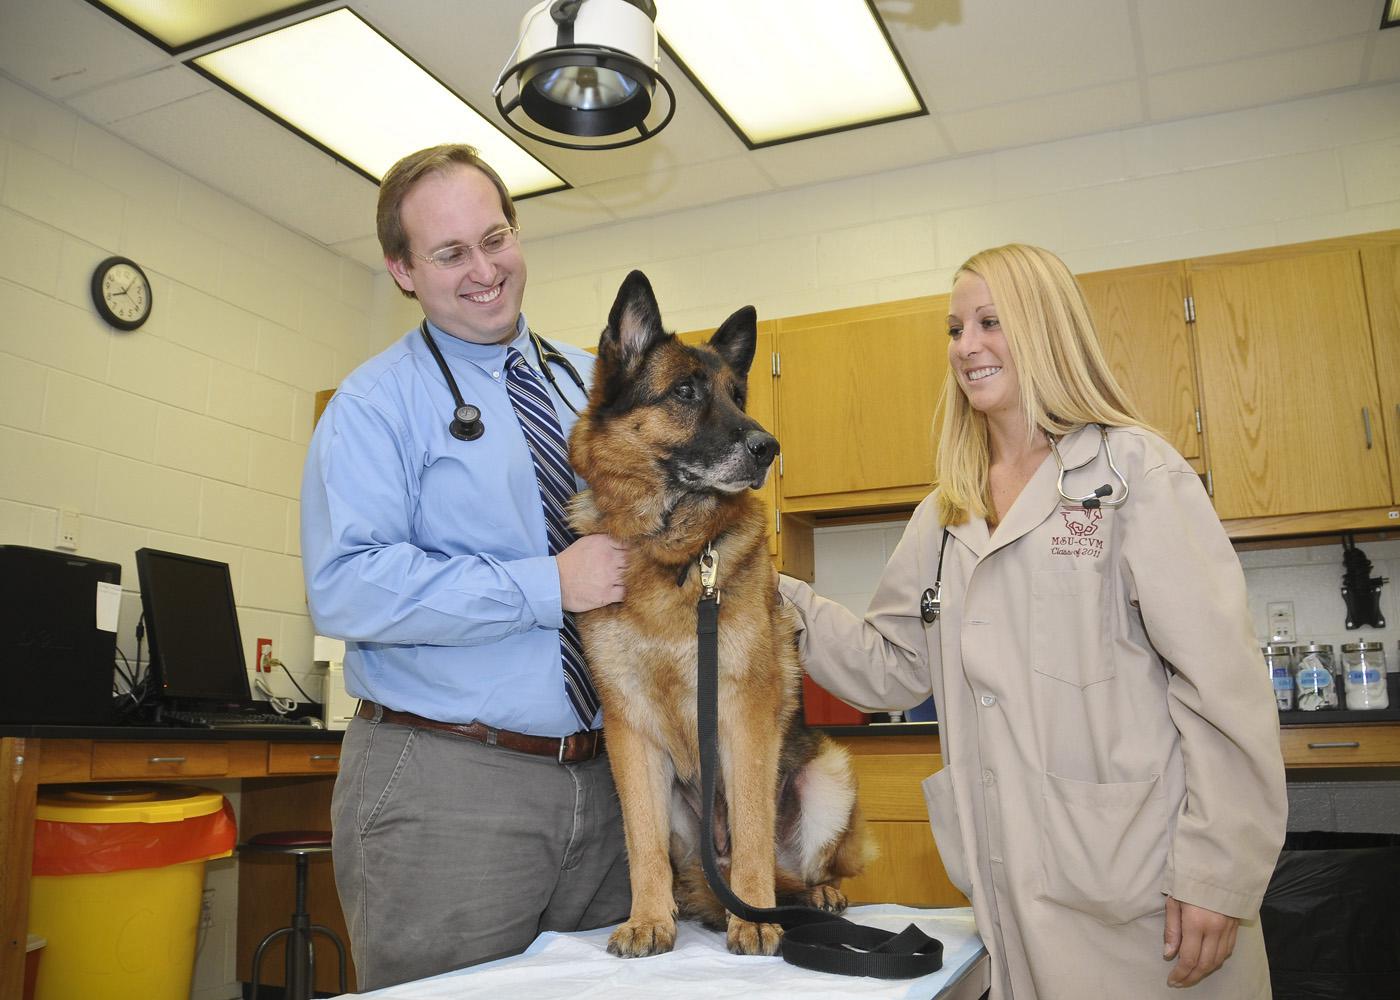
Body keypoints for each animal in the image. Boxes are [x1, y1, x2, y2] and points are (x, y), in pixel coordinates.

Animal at [565, 268, 868, 952]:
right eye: (685, 392)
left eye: (736, 395)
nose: (768, 447)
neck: (675, 555)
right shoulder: (630, 732)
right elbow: (642, 844)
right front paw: (648, 918)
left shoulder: (743, 713)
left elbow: (754, 828)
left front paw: (751, 919)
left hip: (828, 777)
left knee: (795, 868)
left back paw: (808, 897)